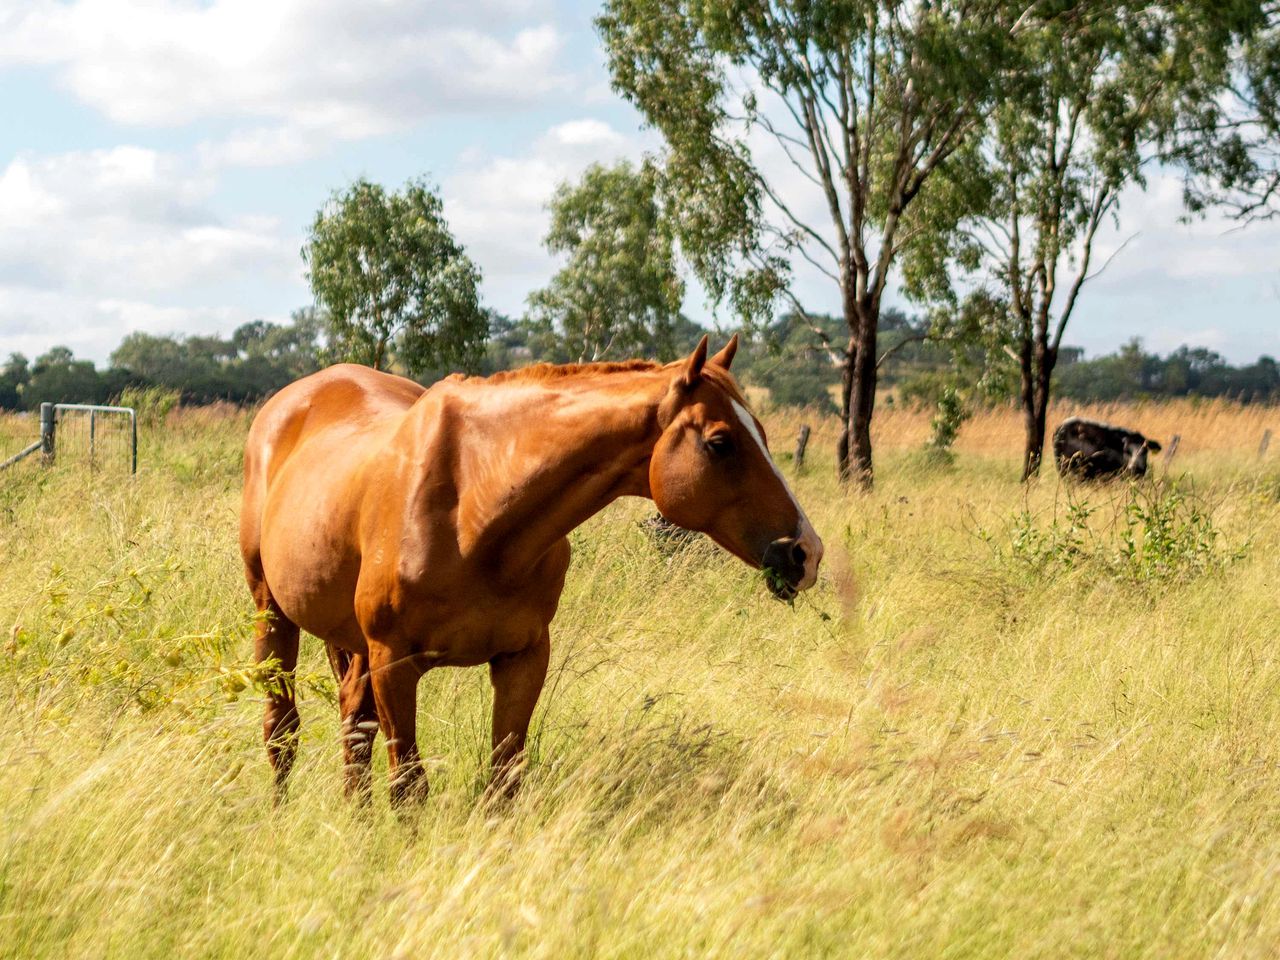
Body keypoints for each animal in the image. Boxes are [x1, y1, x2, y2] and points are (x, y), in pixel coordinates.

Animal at [239, 335, 824, 803]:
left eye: (764, 434)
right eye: (721, 442)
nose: (805, 551)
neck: (474, 509)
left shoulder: (522, 657)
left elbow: (503, 781)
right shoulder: (394, 663)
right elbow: (409, 786)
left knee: (351, 726)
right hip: (274, 614)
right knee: (282, 730)